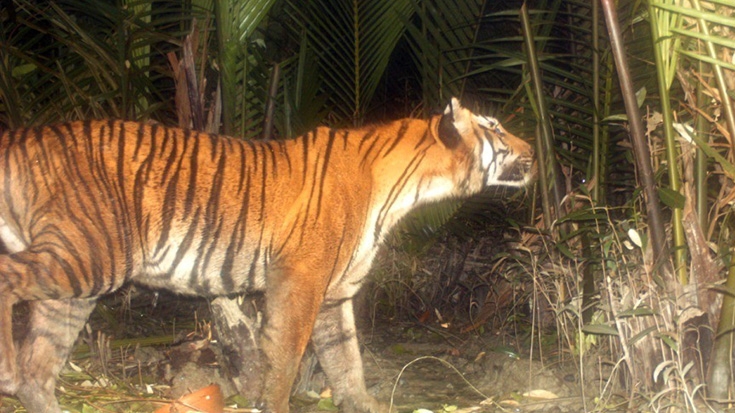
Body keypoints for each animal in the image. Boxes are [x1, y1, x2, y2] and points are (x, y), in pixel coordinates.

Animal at [0, 98, 536, 412]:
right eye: (495, 129)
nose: (534, 149)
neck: (406, 190)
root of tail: (24, 135)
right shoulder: (299, 281)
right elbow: (284, 358)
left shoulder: (333, 295)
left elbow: (347, 361)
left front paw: (361, 403)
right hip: (89, 256)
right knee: (10, 289)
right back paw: (5, 371)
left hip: (76, 285)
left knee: (39, 365)